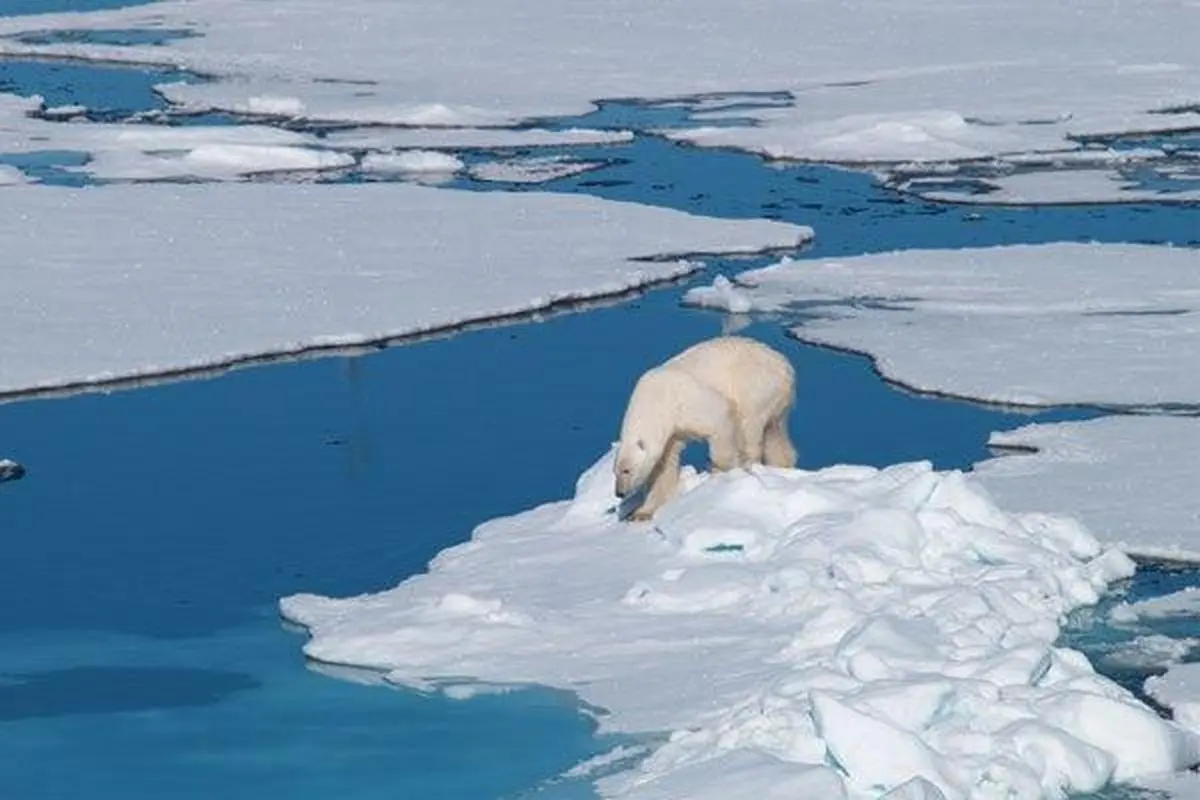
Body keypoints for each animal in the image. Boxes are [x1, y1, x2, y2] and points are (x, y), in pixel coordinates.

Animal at [619, 335, 796, 520]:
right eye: (615, 471)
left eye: (626, 470)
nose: (619, 493)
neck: (653, 402)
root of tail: (784, 365)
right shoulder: (671, 433)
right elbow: (663, 469)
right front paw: (643, 512)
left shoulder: (682, 401)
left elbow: (720, 415)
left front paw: (720, 469)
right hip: (776, 402)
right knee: (775, 434)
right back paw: (783, 464)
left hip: (755, 385)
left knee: (749, 425)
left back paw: (748, 463)